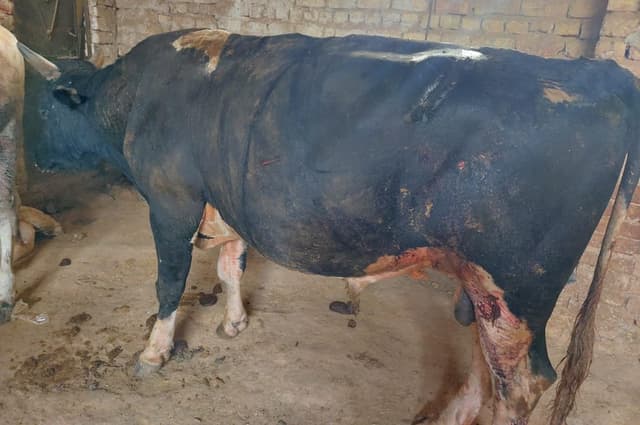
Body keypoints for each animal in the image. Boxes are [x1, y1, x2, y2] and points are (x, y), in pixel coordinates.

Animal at [18, 29, 639, 425]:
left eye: (45, 106)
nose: (30, 155)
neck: (138, 98)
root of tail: (599, 72)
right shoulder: (227, 196)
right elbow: (230, 265)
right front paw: (234, 322)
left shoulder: (172, 200)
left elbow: (170, 282)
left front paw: (153, 352)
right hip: (483, 278)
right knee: (488, 359)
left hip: (519, 283)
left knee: (523, 382)